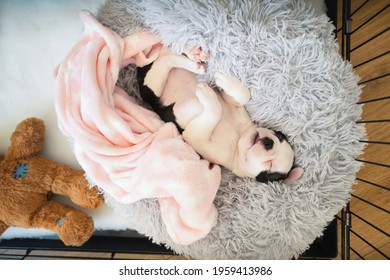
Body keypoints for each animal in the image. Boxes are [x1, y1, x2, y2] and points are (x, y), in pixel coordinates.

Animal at [137, 47, 304, 184]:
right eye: (279, 135)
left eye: (270, 166)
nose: (269, 143)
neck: (238, 138)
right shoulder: (232, 102)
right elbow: (244, 95)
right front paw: (226, 82)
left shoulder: (196, 138)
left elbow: (215, 111)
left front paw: (208, 94)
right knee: (168, 57)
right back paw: (193, 55)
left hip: (151, 89)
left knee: (167, 60)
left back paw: (194, 61)